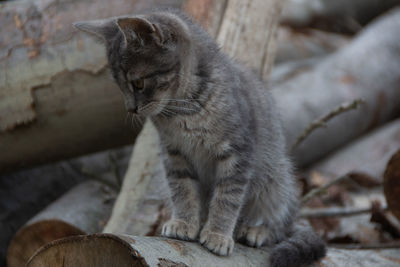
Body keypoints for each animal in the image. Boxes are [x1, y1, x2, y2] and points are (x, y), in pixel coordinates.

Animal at [74, 8, 324, 267]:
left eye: (138, 83)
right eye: (120, 87)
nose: (130, 109)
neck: (183, 109)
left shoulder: (238, 151)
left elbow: (227, 197)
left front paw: (217, 234)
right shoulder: (174, 154)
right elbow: (183, 190)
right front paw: (185, 223)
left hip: (275, 180)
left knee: (281, 224)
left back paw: (257, 230)